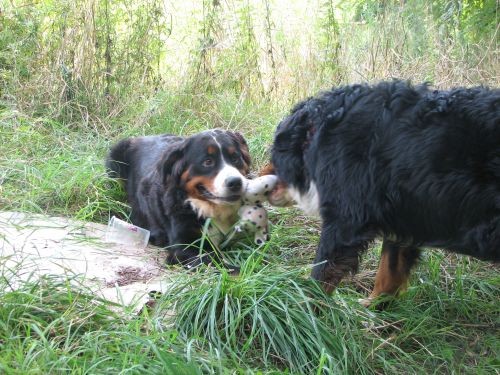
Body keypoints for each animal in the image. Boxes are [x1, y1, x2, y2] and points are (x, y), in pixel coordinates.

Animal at [264, 81, 498, 306]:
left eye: (273, 153)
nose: (258, 175)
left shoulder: (345, 221)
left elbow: (321, 275)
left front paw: (305, 308)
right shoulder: (403, 217)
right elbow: (389, 273)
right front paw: (373, 307)